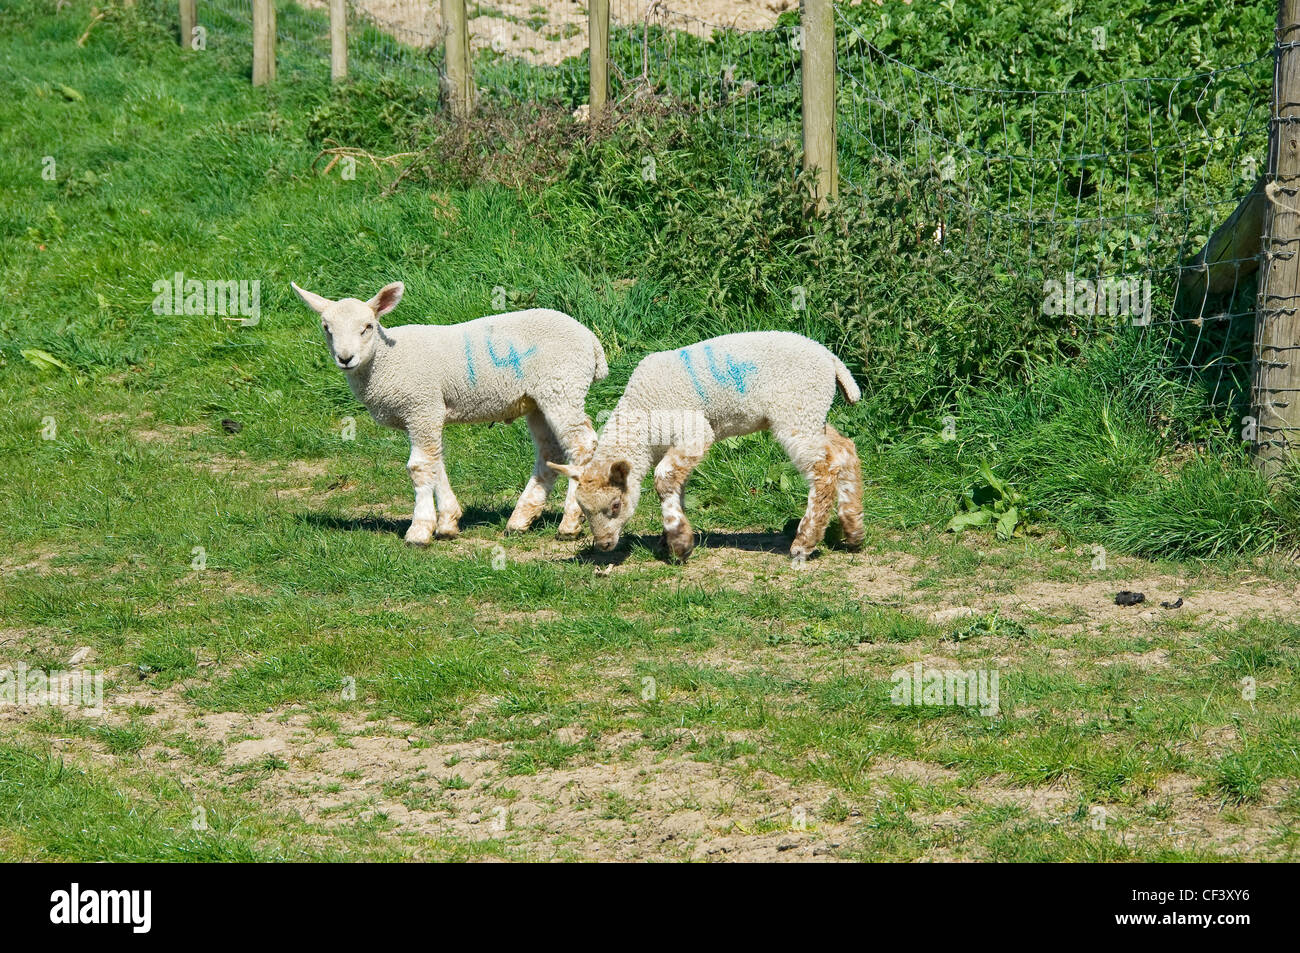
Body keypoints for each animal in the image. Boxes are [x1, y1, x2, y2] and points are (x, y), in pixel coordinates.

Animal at [290, 280, 607, 545]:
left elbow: (419, 467)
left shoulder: (420, 405)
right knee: (549, 452)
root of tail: (591, 341)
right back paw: (521, 519)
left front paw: (420, 530)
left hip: (562, 386)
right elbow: (435, 463)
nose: (345, 358)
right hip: (537, 399)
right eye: (326, 328)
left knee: (581, 446)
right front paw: (447, 523)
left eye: (367, 326)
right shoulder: (427, 412)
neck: (386, 360)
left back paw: (570, 522)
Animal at [548, 331, 863, 561]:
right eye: (582, 509)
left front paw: (679, 545)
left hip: (797, 410)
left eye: (615, 505)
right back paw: (854, 532)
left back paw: (805, 542)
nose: (602, 544)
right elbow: (676, 485)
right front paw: (670, 538)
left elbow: (663, 479)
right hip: (813, 414)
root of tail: (830, 359)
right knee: (845, 450)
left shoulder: (694, 431)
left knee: (824, 469)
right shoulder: (674, 445)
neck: (642, 413)